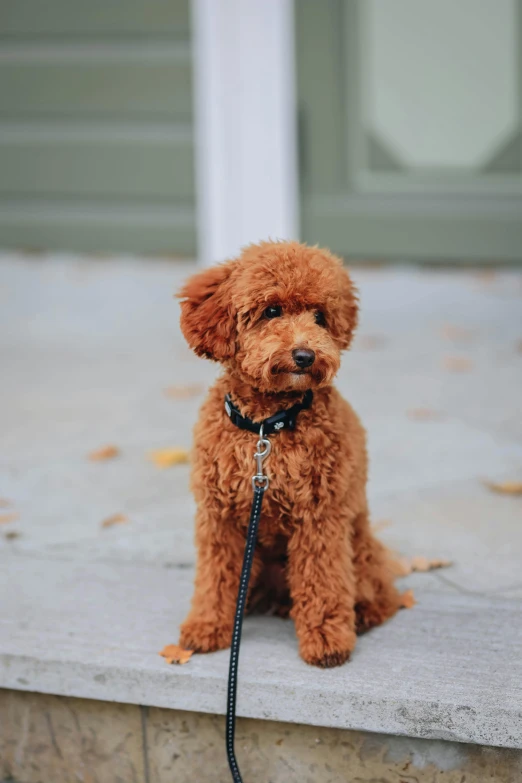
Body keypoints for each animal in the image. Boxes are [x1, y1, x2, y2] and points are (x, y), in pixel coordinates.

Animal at [177, 240, 400, 668]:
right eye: (271, 310)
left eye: (320, 317)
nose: (305, 356)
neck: (268, 428)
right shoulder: (219, 518)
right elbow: (215, 578)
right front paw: (207, 626)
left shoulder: (320, 518)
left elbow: (323, 582)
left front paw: (327, 640)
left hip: (360, 547)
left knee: (381, 594)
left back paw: (362, 614)